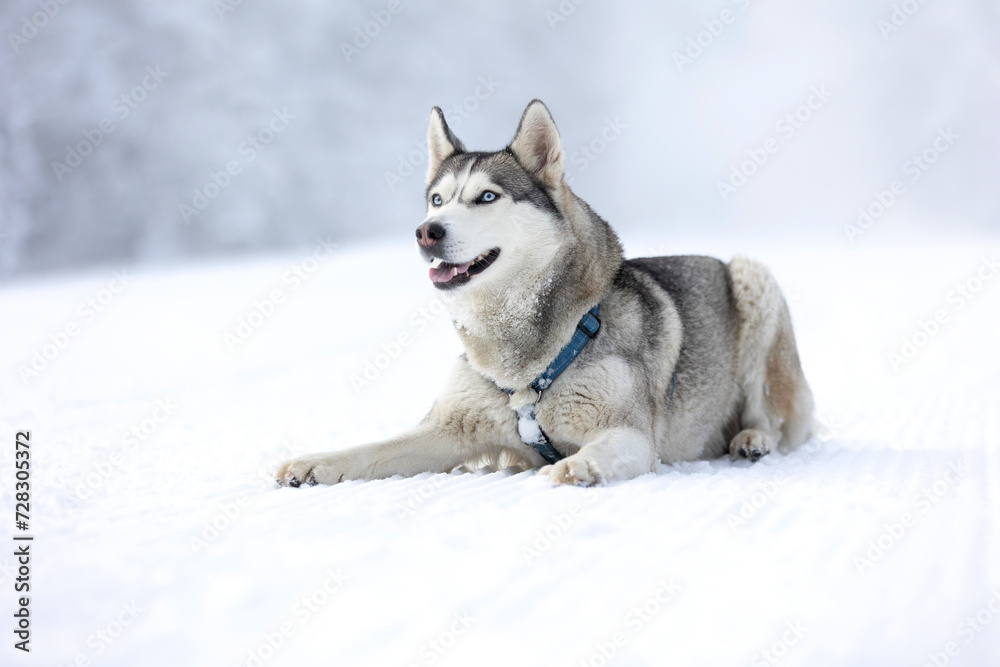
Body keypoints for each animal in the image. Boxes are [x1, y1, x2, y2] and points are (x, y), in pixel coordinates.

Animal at [278, 98, 816, 486]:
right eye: (436, 199)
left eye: (487, 196)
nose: (426, 231)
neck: (523, 361)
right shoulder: (450, 426)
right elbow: (371, 449)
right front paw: (315, 463)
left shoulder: (629, 433)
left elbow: (603, 448)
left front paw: (578, 465)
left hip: (754, 282)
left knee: (774, 417)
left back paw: (752, 438)